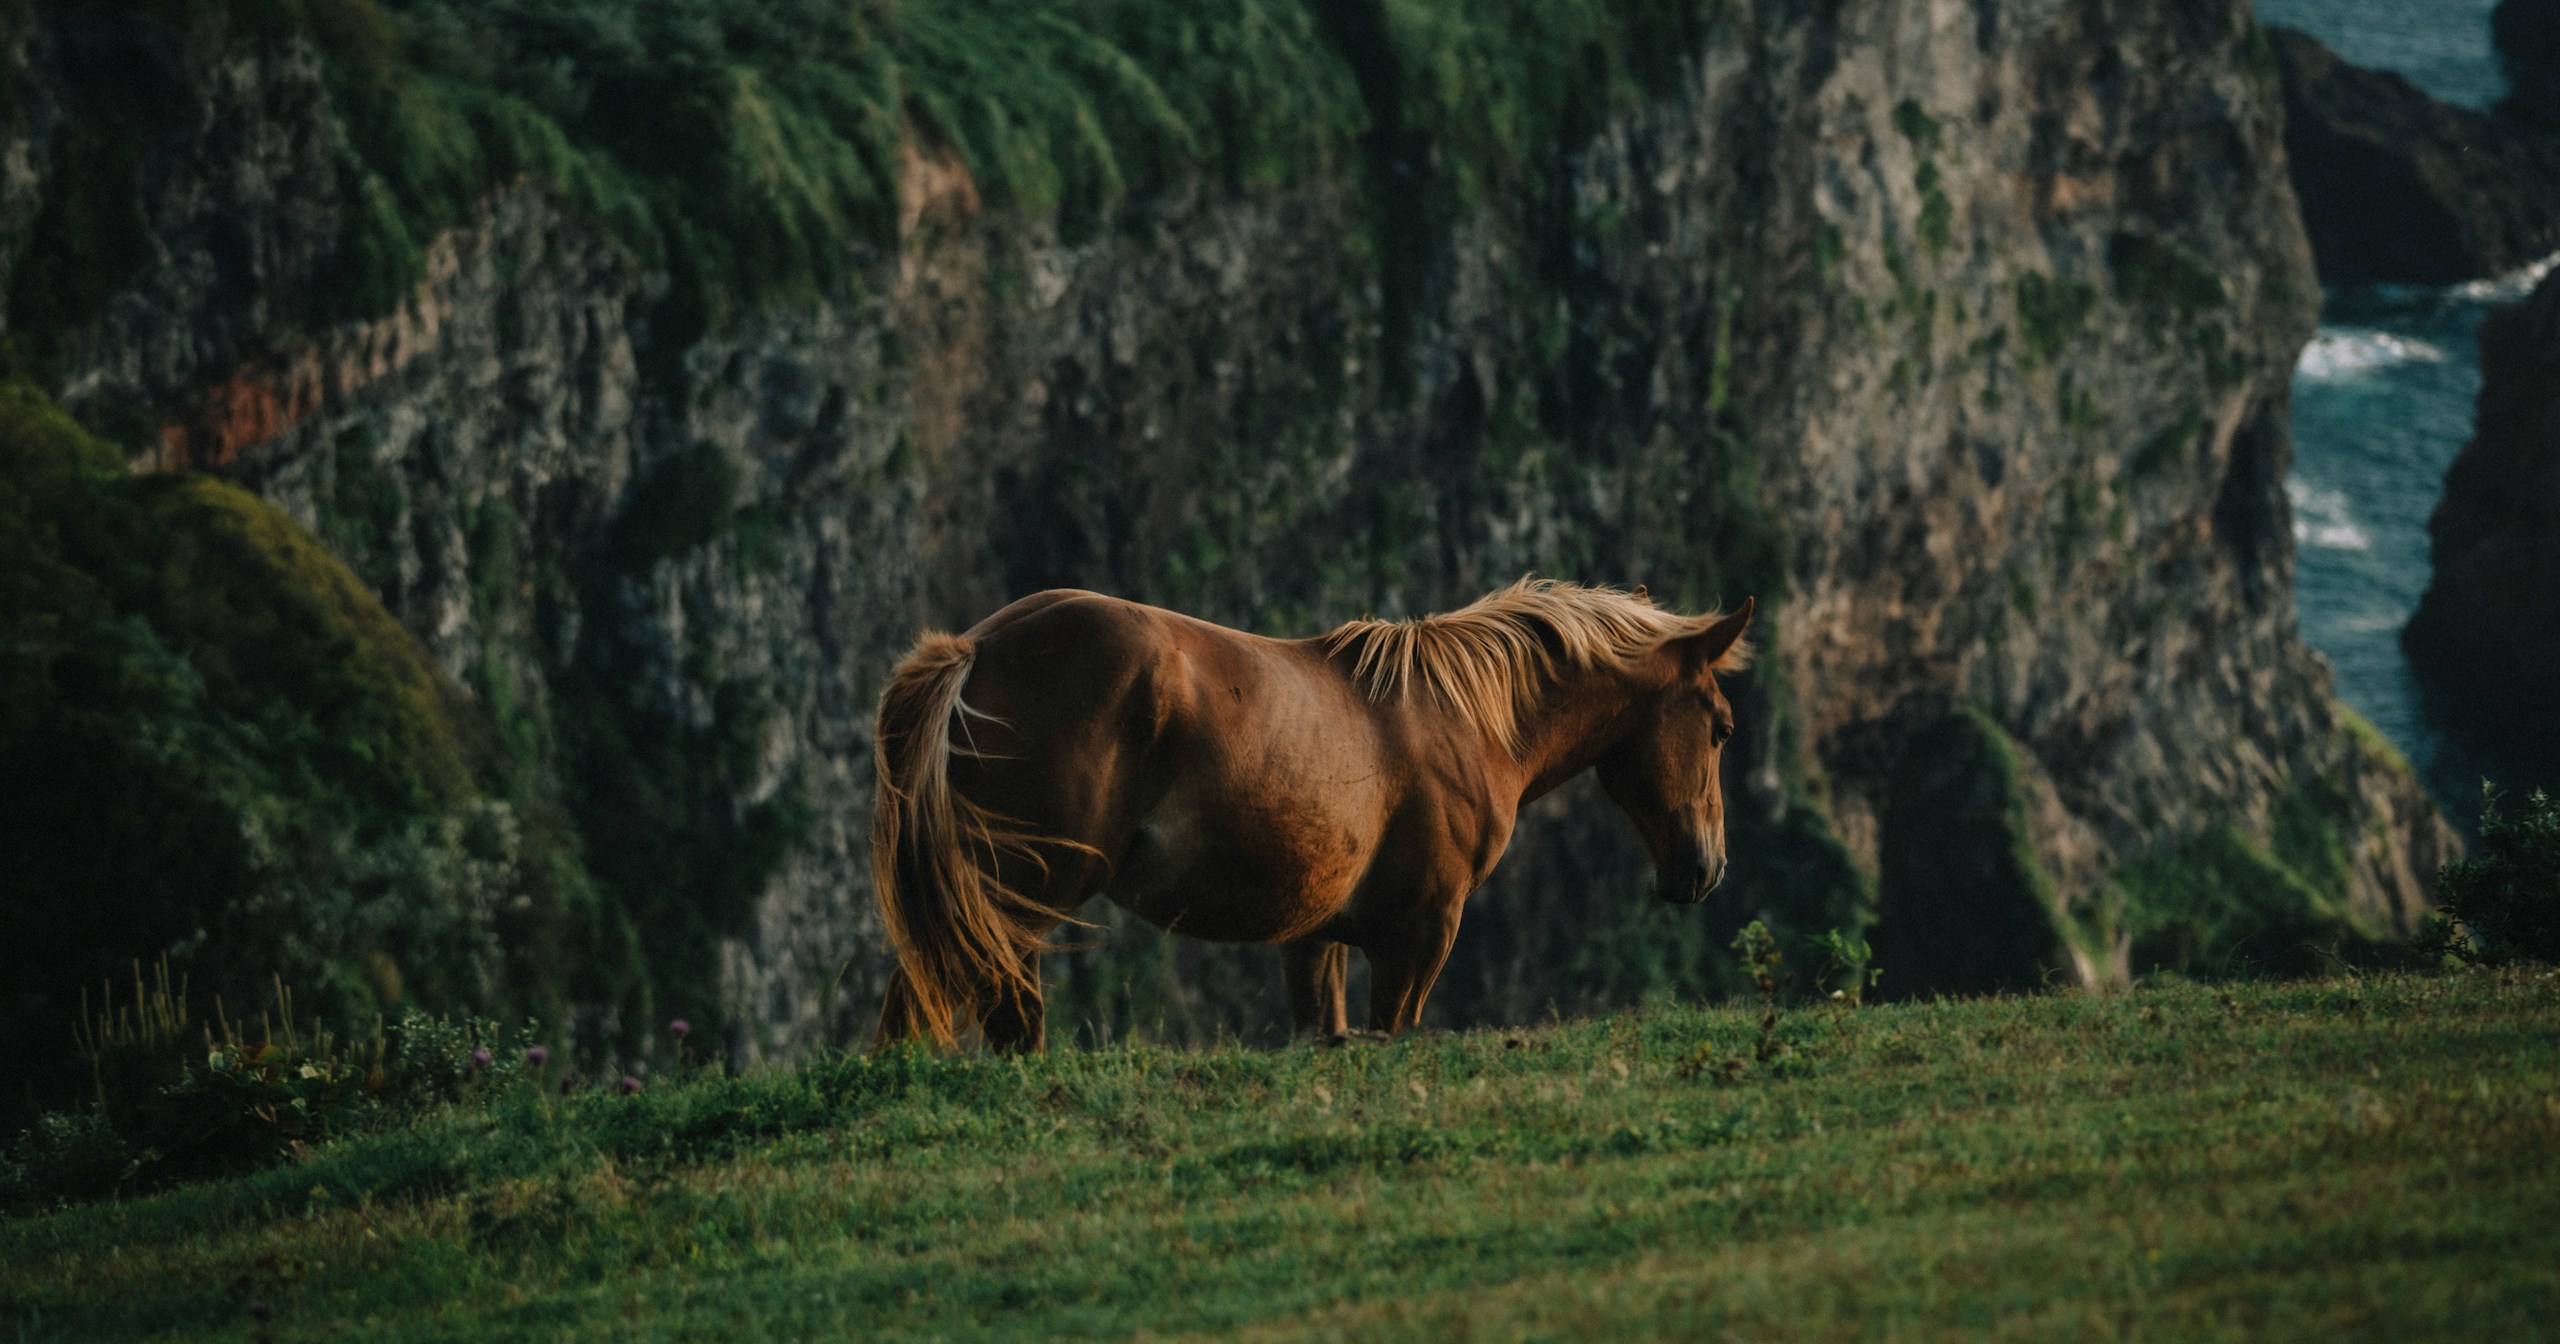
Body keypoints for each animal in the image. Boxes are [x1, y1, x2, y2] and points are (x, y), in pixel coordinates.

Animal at [868, 578, 1754, 1050]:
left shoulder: (1314, 940)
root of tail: (976, 649)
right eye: (1720, 727)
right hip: (1019, 898)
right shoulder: (1419, 936)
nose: (1706, 868)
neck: (1466, 718)